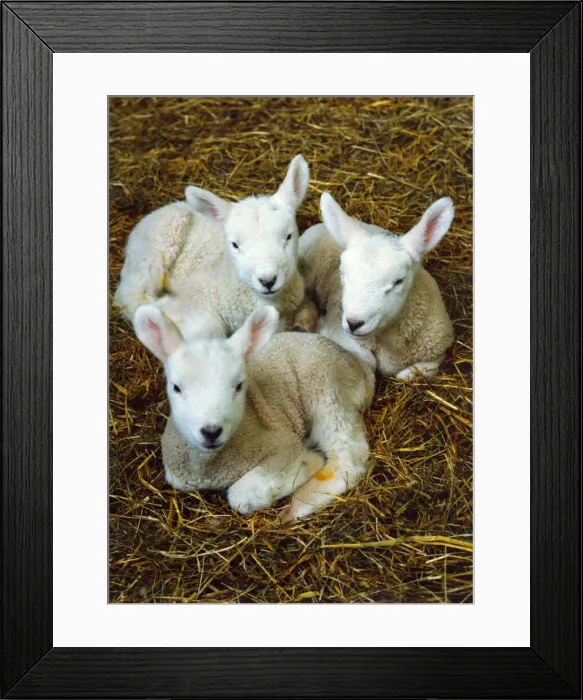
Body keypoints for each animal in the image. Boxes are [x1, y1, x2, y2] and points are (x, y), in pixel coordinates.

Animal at [113, 154, 311, 329]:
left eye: (288, 236)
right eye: (235, 245)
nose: (268, 280)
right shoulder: (198, 292)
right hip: (154, 248)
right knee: (130, 294)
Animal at [133, 304, 375, 523]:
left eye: (239, 385)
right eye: (176, 387)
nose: (211, 431)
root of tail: (361, 368)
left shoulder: (282, 443)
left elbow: (241, 497)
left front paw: (309, 463)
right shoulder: (177, 474)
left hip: (329, 393)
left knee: (348, 458)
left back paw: (298, 506)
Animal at [299, 193, 455, 379]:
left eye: (398, 281)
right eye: (342, 273)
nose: (354, 323)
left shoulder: (439, 349)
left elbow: (415, 372)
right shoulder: (338, 330)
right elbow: (369, 360)